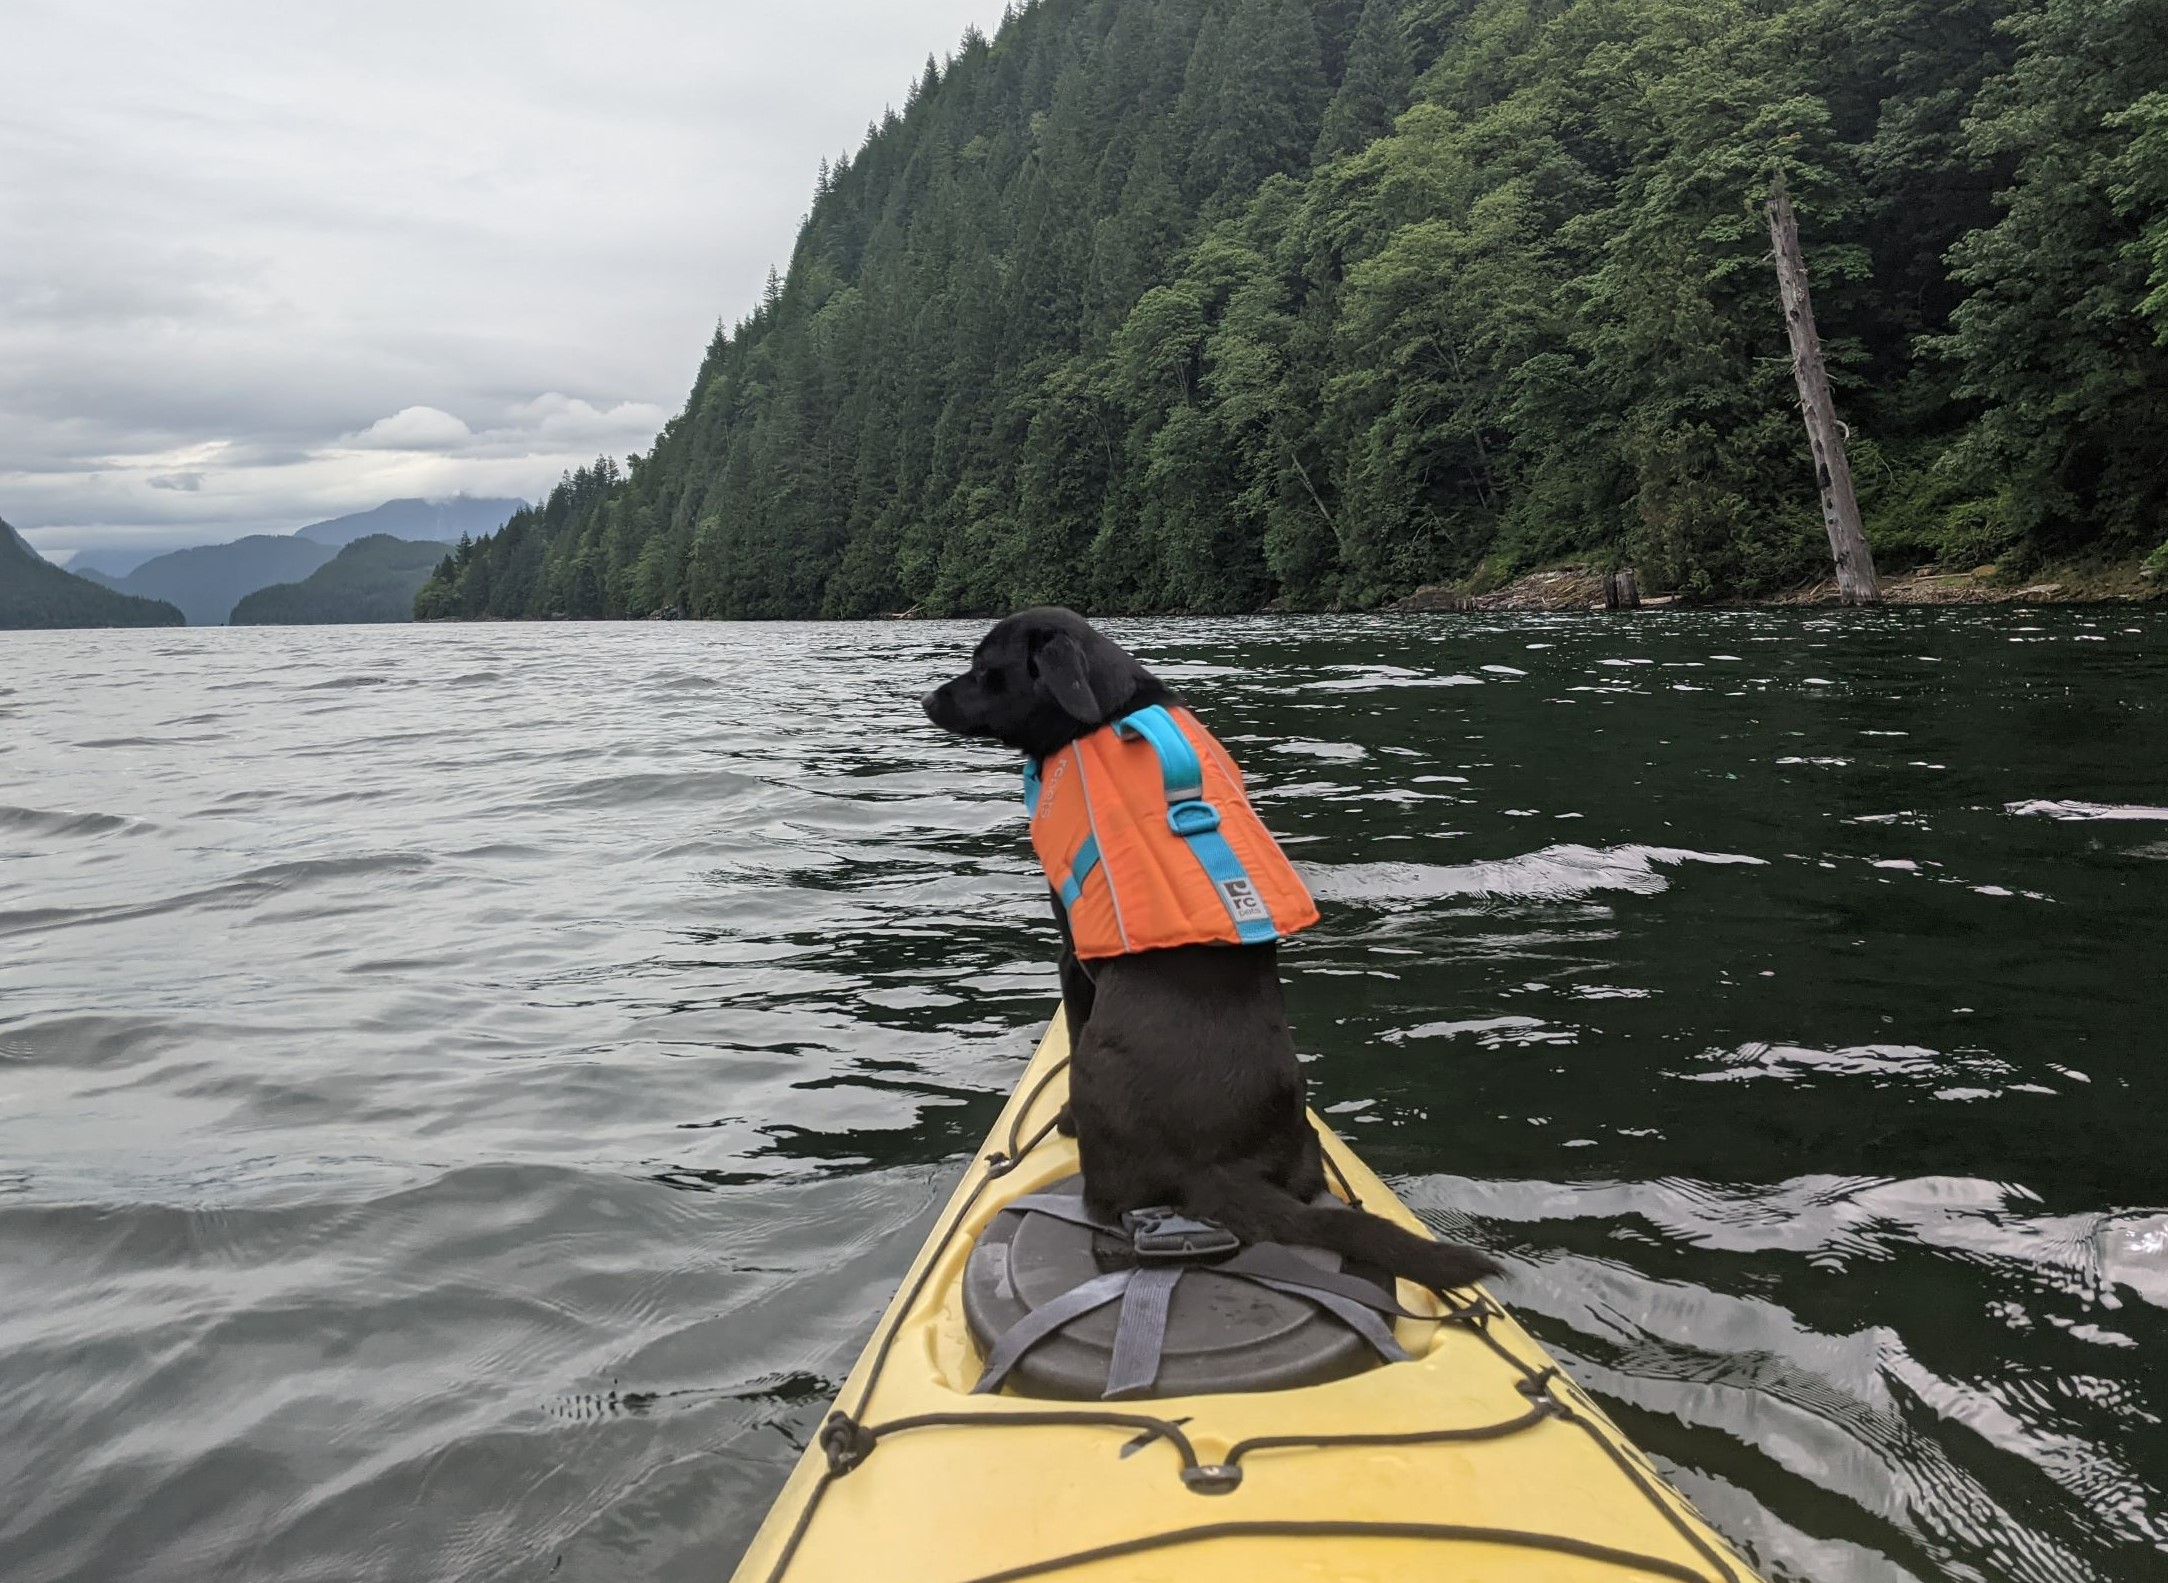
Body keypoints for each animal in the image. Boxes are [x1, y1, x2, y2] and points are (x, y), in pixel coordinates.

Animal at [923, 611, 1500, 1292]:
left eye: (986, 668)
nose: (927, 700)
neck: (1103, 714)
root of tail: (1217, 1169)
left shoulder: (1073, 954)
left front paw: (1060, 1119)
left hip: (1098, 1080)